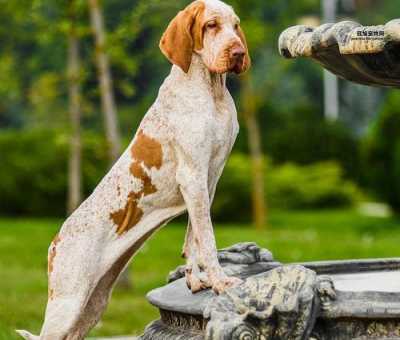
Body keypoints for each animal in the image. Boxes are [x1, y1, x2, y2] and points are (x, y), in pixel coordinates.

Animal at [18, 1, 250, 338]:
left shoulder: (208, 180)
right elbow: (207, 241)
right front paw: (220, 282)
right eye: (211, 25)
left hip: (92, 306)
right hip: (67, 304)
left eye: (235, 26)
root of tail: (55, 243)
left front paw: (197, 282)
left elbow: (194, 239)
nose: (238, 53)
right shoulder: (193, 177)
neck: (210, 91)